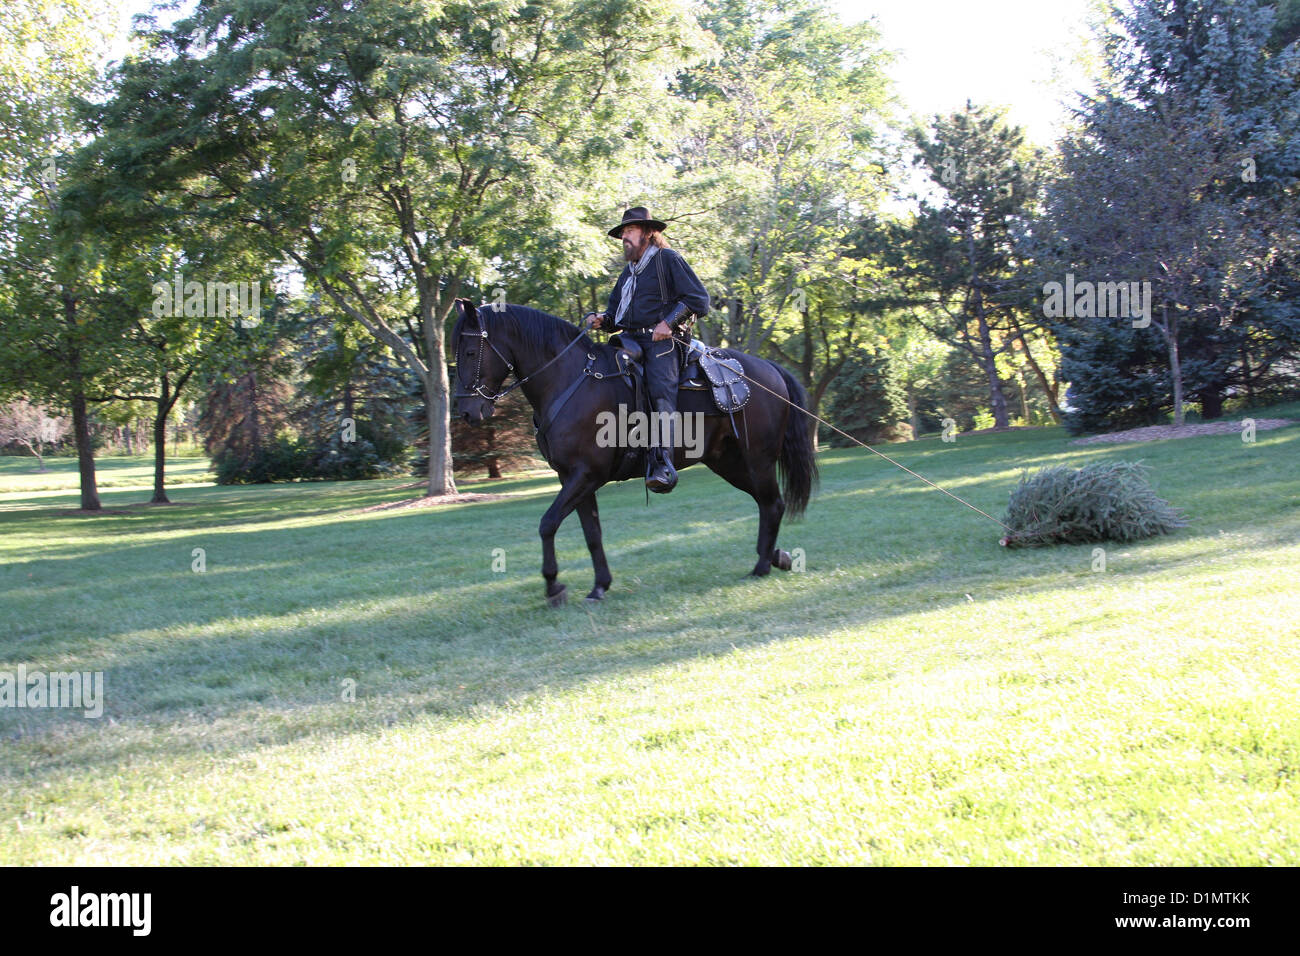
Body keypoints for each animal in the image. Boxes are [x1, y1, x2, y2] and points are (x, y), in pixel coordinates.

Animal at [452, 300, 816, 606]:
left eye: (470, 351)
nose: (467, 411)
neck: (569, 381)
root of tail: (770, 369)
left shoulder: (586, 475)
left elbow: (548, 523)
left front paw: (554, 586)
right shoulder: (573, 478)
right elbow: (592, 533)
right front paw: (599, 585)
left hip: (757, 460)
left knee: (773, 503)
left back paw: (762, 565)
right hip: (728, 463)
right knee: (767, 504)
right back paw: (774, 557)